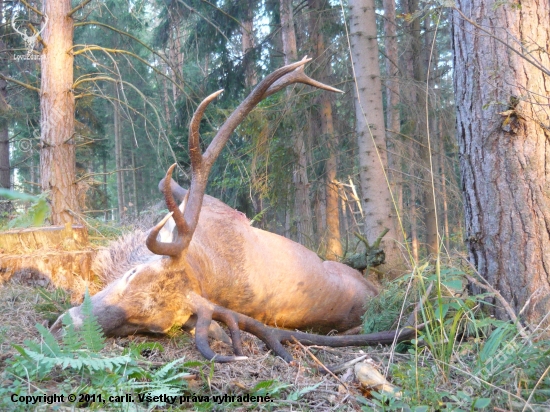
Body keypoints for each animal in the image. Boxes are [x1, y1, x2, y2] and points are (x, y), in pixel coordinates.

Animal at [51, 58, 416, 360]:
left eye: (150, 326)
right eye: (134, 274)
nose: (65, 327)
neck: (201, 262)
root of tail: (375, 294)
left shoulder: (212, 205)